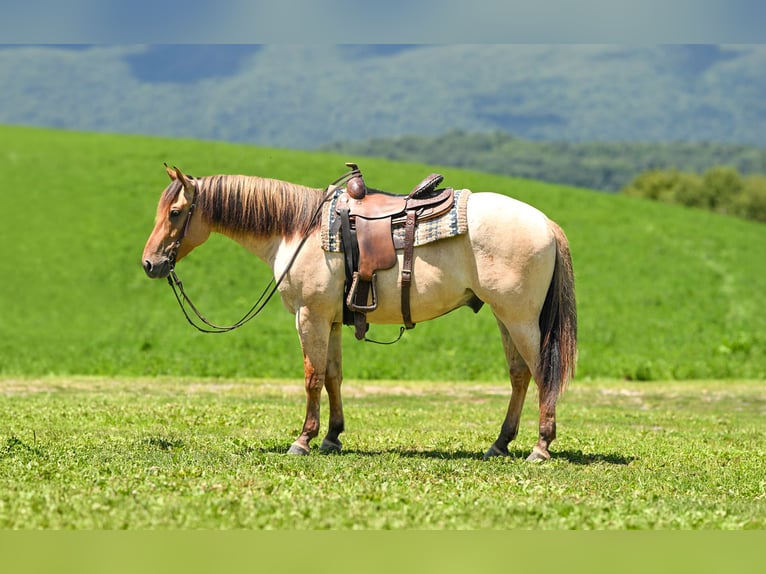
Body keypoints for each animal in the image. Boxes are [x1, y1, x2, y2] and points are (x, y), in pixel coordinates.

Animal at [142, 164, 577, 461]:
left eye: (176, 211)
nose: (150, 264)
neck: (297, 230)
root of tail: (545, 223)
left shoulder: (309, 316)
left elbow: (312, 377)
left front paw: (303, 439)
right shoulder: (331, 319)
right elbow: (333, 376)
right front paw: (332, 436)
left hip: (521, 318)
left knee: (542, 373)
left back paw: (540, 447)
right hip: (505, 317)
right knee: (520, 375)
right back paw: (499, 444)